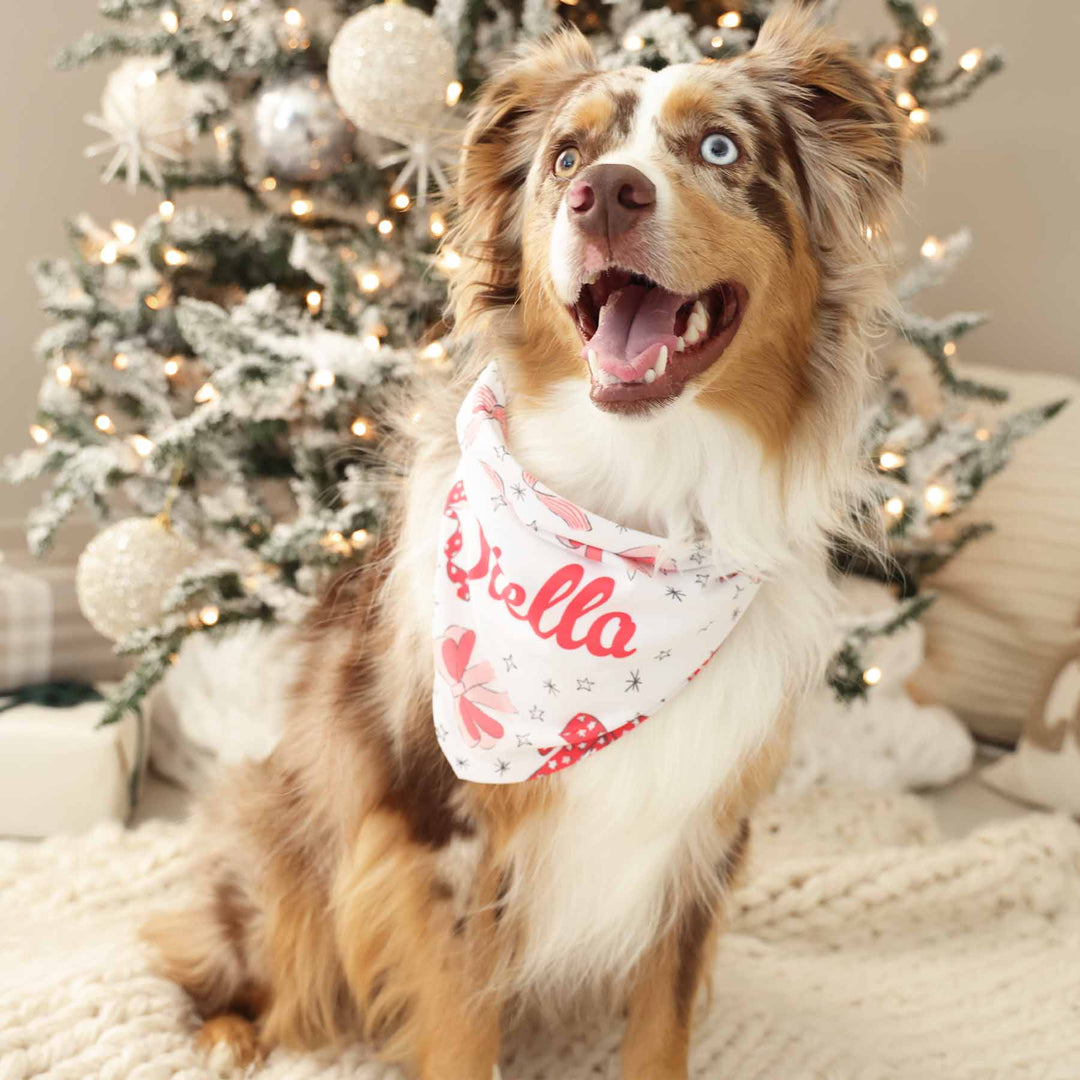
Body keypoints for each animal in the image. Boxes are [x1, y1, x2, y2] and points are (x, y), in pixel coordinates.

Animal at [143, 10, 902, 1080]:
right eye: (566, 157)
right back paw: (226, 1035)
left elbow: (663, 1025)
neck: (634, 510)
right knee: (231, 952)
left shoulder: (703, 837)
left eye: (719, 148)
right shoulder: (439, 834)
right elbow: (462, 1033)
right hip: (285, 829)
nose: (607, 194)